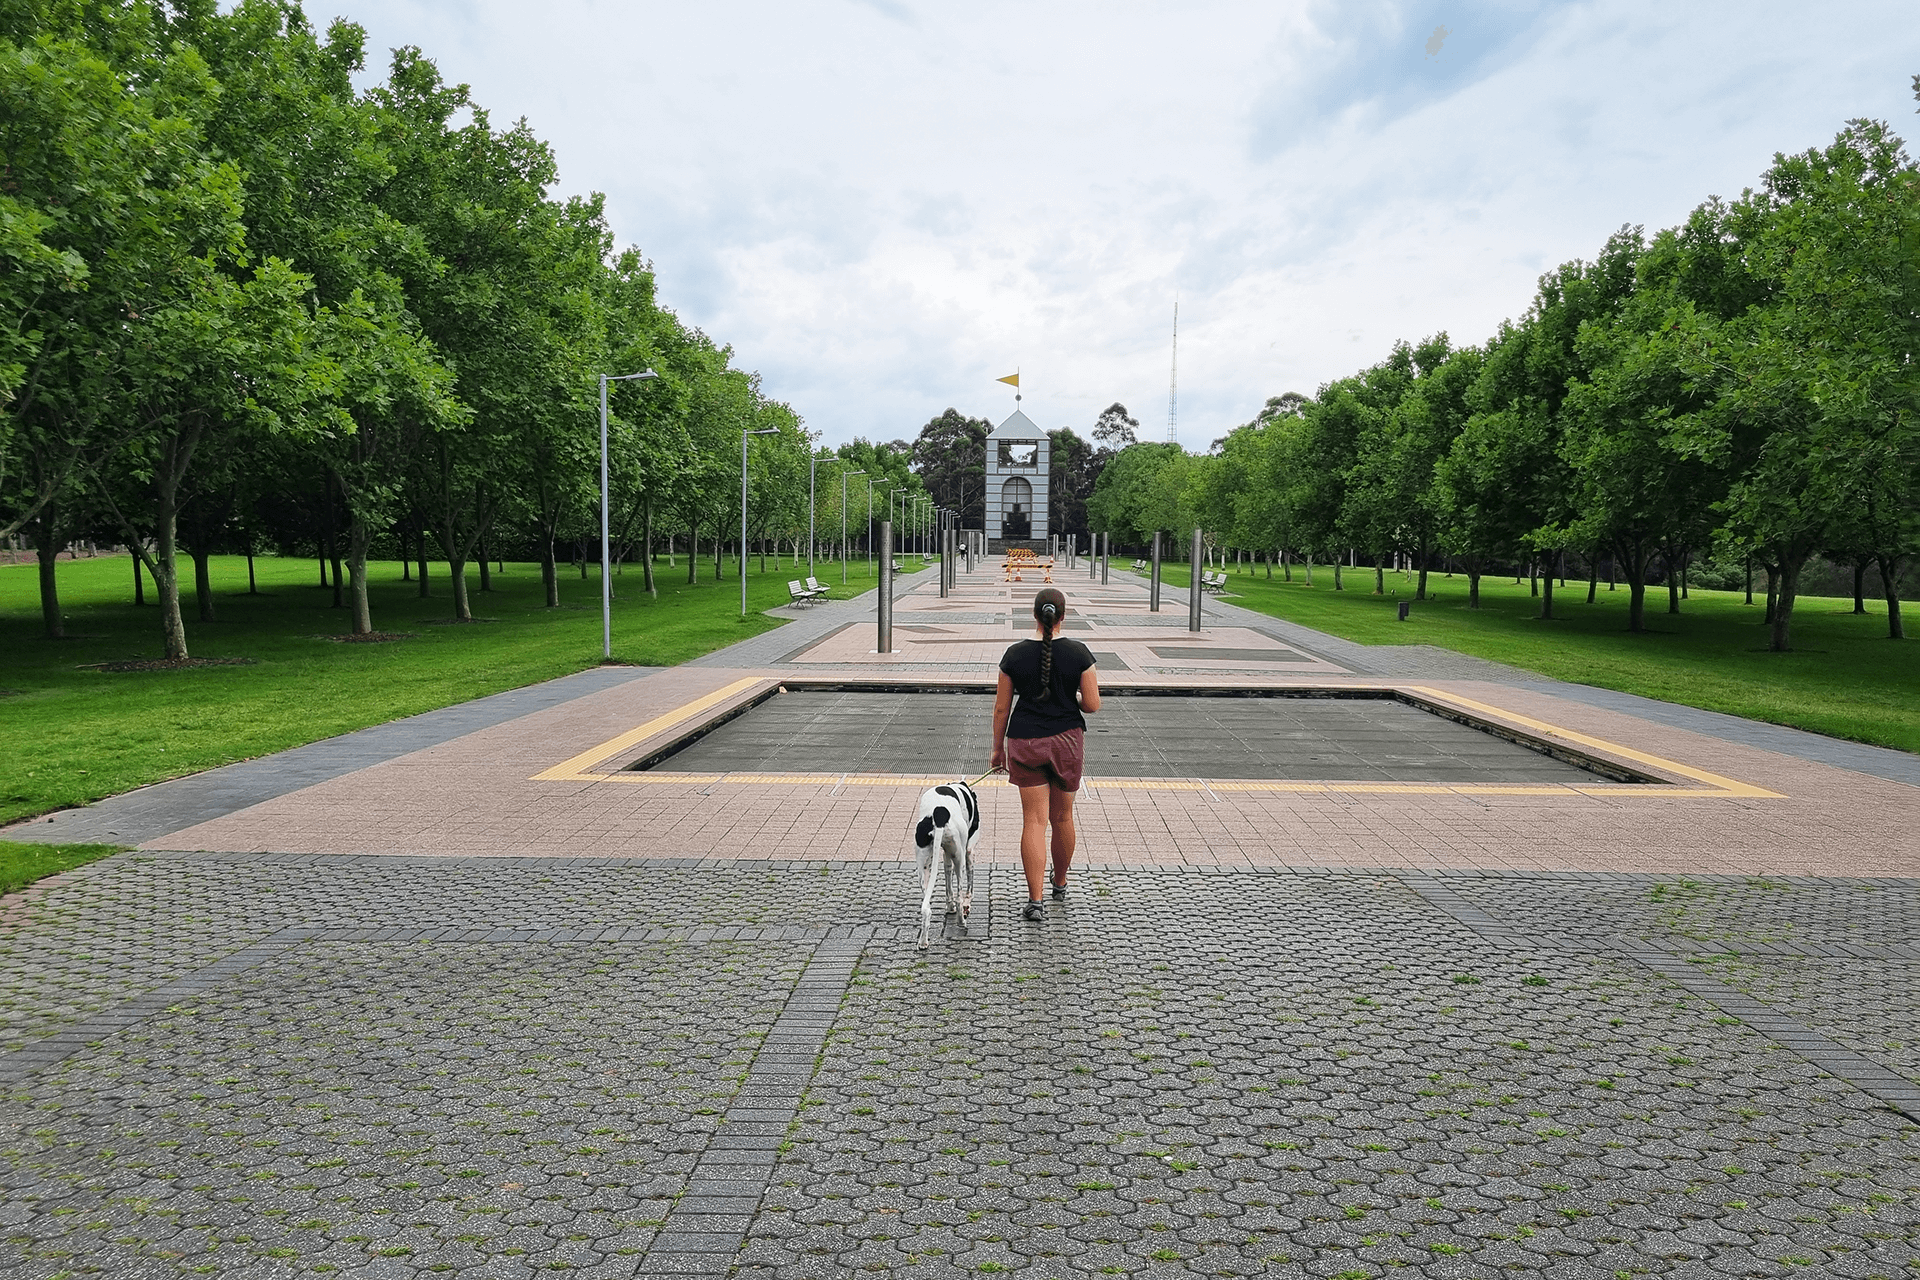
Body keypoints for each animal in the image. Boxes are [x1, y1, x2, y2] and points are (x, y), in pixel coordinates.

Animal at [910, 782, 975, 951]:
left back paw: (923, 942)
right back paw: (961, 921)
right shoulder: (968, 851)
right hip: (959, 857)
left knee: (926, 908)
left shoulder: (946, 855)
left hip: (924, 866)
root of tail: (939, 815)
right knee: (959, 896)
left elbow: (947, 879)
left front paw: (949, 907)